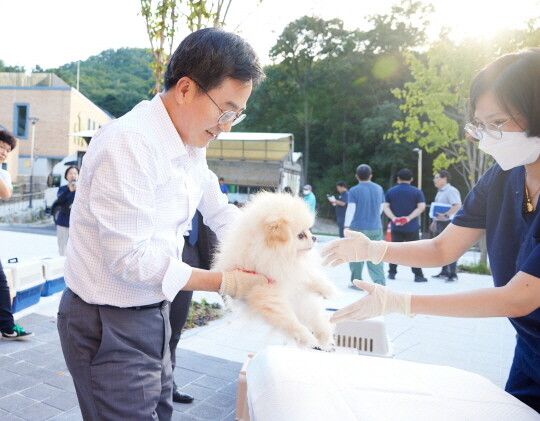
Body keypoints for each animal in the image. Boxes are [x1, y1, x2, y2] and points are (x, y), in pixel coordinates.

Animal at [212, 190, 336, 348]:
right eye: (301, 235)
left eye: (308, 231)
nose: (314, 237)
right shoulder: (268, 294)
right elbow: (289, 320)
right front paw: (307, 338)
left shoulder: (296, 275)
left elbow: (312, 278)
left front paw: (328, 290)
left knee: (318, 320)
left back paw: (325, 337)